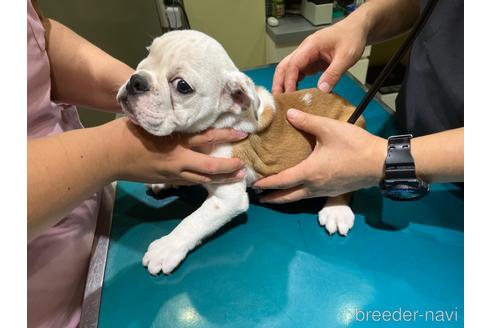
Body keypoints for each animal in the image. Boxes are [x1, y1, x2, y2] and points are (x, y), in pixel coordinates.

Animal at [117, 31, 366, 276]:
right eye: (148, 53)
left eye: (182, 86)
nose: (136, 80)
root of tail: (347, 104)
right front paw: (164, 181)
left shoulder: (227, 198)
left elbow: (193, 221)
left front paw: (167, 247)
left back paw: (336, 210)